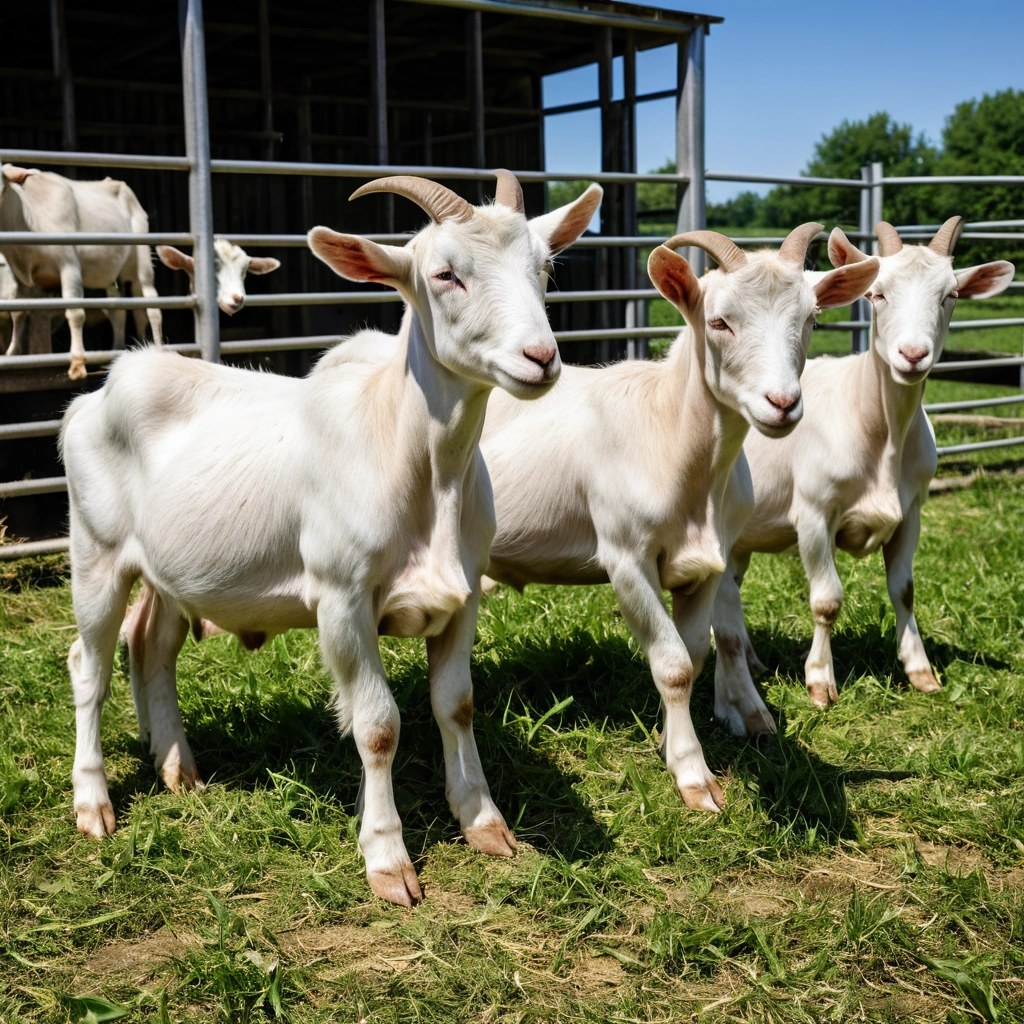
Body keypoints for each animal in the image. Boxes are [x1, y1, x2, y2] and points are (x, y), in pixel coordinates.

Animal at [0, 164, 164, 379]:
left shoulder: (69, 264)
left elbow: (75, 312)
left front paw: (77, 364)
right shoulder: (23, 280)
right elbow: (19, 313)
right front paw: (13, 353)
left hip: (142, 262)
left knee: (151, 307)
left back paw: (157, 349)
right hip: (112, 274)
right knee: (121, 310)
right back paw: (116, 350)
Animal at [60, 171, 602, 907]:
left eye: (543, 269)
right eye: (444, 274)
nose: (541, 358)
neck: (417, 462)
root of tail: (97, 396)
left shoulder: (463, 594)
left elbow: (455, 705)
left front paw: (484, 823)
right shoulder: (342, 599)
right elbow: (378, 726)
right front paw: (388, 860)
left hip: (170, 567)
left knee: (150, 646)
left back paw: (178, 768)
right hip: (95, 550)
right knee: (88, 664)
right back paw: (94, 805)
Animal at [478, 226, 879, 811]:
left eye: (811, 320)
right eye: (719, 321)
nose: (782, 403)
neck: (670, 435)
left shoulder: (707, 565)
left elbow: (693, 654)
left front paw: (672, 742)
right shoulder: (626, 559)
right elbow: (671, 665)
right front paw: (694, 777)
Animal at [710, 217, 1014, 716]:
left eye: (950, 295)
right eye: (877, 294)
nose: (912, 355)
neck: (879, 431)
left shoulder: (911, 512)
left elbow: (904, 589)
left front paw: (921, 672)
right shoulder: (814, 513)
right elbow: (826, 600)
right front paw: (819, 682)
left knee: (731, 583)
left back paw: (751, 661)